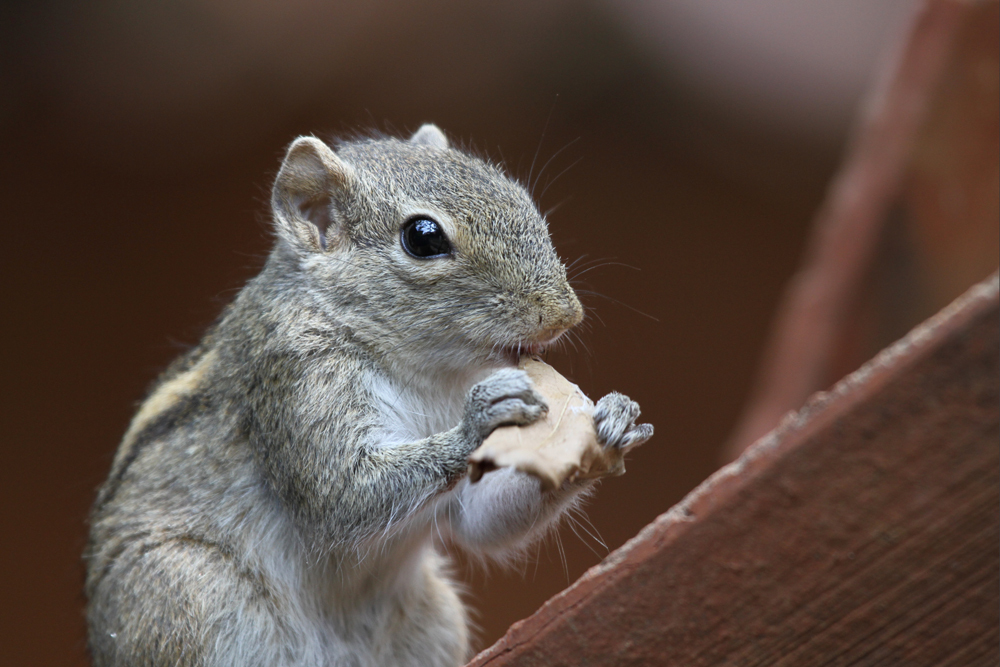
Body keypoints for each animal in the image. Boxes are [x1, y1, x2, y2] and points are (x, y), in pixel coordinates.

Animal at [84, 124, 653, 667]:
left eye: (517, 194)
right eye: (422, 238)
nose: (565, 315)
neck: (420, 370)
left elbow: (480, 522)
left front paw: (616, 418)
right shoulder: (292, 375)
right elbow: (342, 493)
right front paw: (481, 419)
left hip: (432, 617)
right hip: (185, 594)